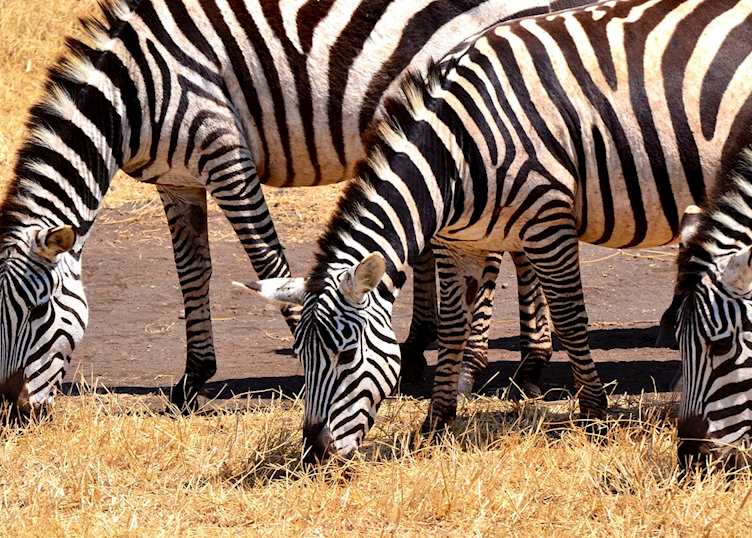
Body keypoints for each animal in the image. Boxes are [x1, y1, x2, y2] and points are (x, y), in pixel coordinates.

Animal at [0, 0, 587, 414]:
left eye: (38, 311)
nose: (14, 406)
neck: (134, 92)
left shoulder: (224, 151)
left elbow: (266, 259)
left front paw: (306, 363)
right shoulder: (177, 180)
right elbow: (192, 272)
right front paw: (192, 378)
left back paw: (506, 366)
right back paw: (519, 362)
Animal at [248, 0, 752, 462]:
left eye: (346, 356)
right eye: (300, 357)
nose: (313, 455)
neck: (453, 154)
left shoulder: (548, 221)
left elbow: (571, 319)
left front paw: (594, 416)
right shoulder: (457, 242)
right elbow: (453, 327)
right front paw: (437, 422)